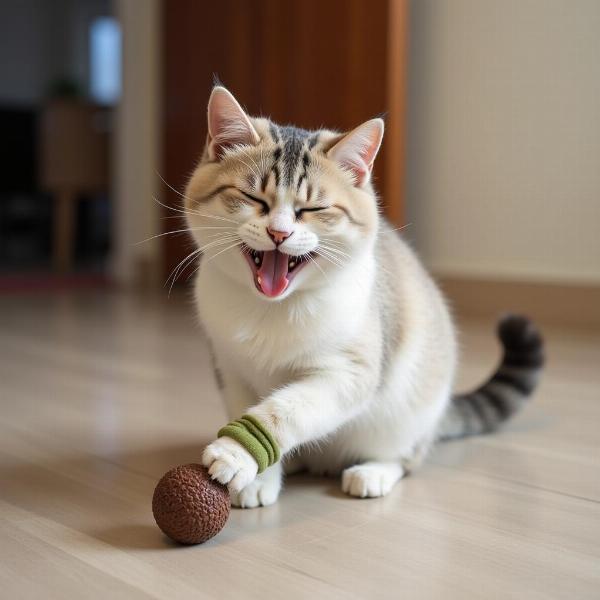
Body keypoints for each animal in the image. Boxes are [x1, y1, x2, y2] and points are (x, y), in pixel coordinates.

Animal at [183, 85, 544, 506]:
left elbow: (285, 411)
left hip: (405, 418)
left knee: (408, 457)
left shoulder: (349, 373)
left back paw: (373, 473)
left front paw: (236, 453)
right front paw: (259, 479)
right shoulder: (232, 372)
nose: (279, 233)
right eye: (253, 198)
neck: (273, 309)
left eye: (313, 208)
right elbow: (247, 407)